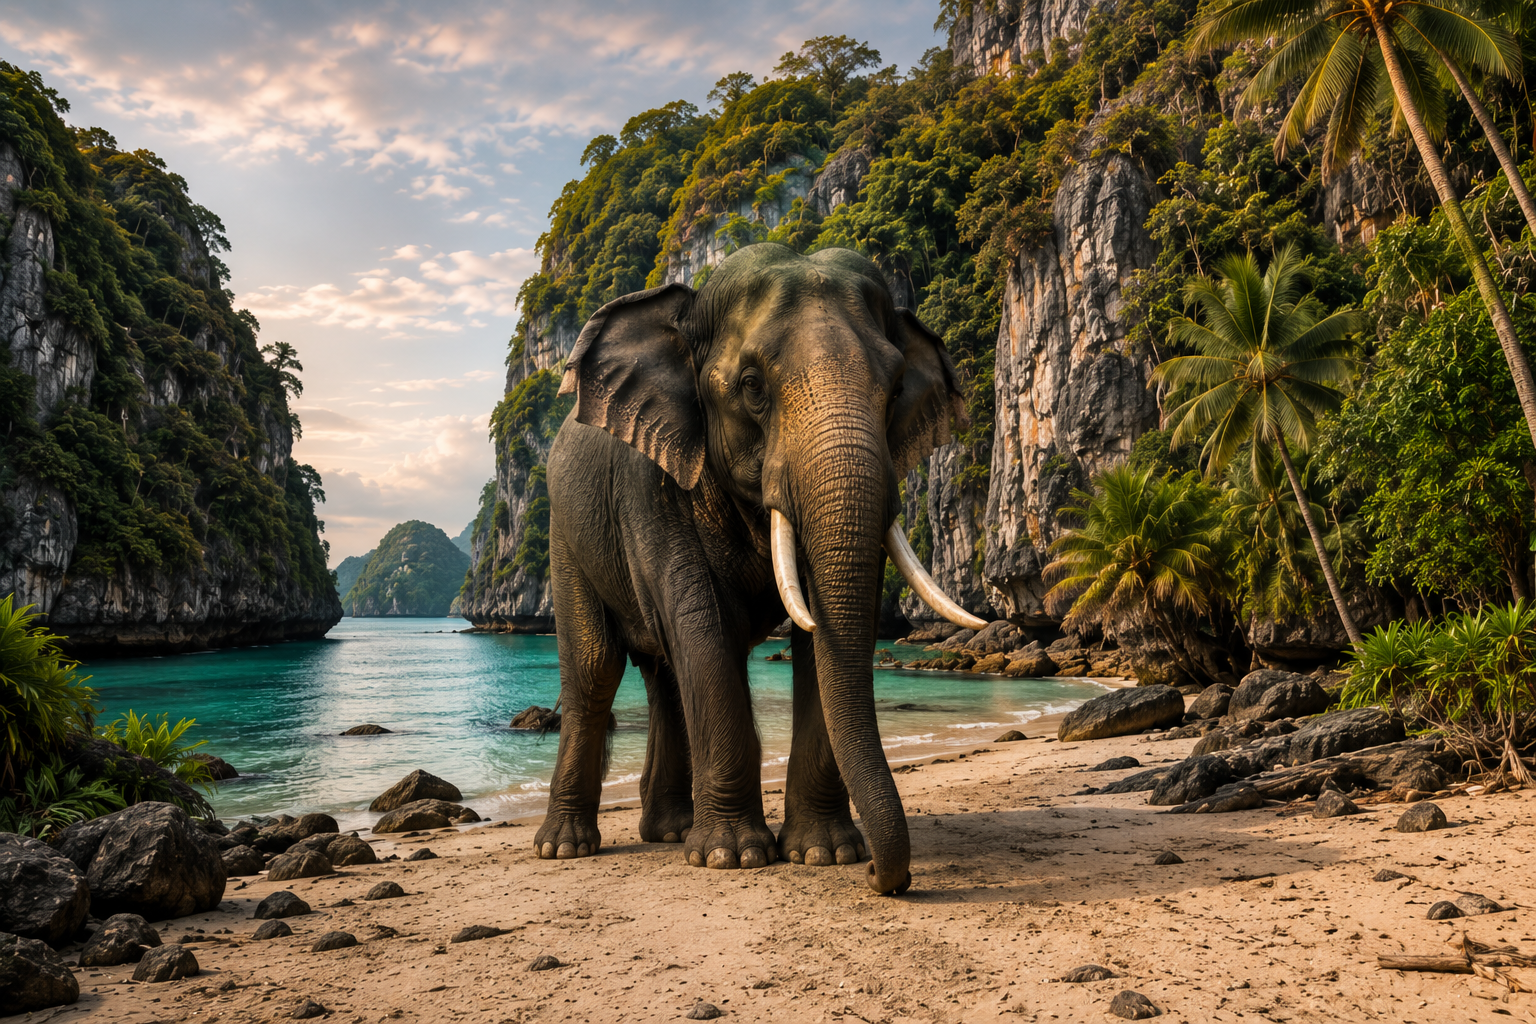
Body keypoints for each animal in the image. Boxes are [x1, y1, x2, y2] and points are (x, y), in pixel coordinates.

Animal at [535, 242, 985, 893]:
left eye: (897, 386)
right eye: (751, 385)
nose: (884, 876)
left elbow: (814, 641)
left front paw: (824, 853)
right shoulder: (651, 484)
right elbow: (702, 632)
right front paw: (733, 857)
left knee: (664, 678)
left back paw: (669, 831)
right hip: (566, 535)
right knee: (596, 668)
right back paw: (566, 847)